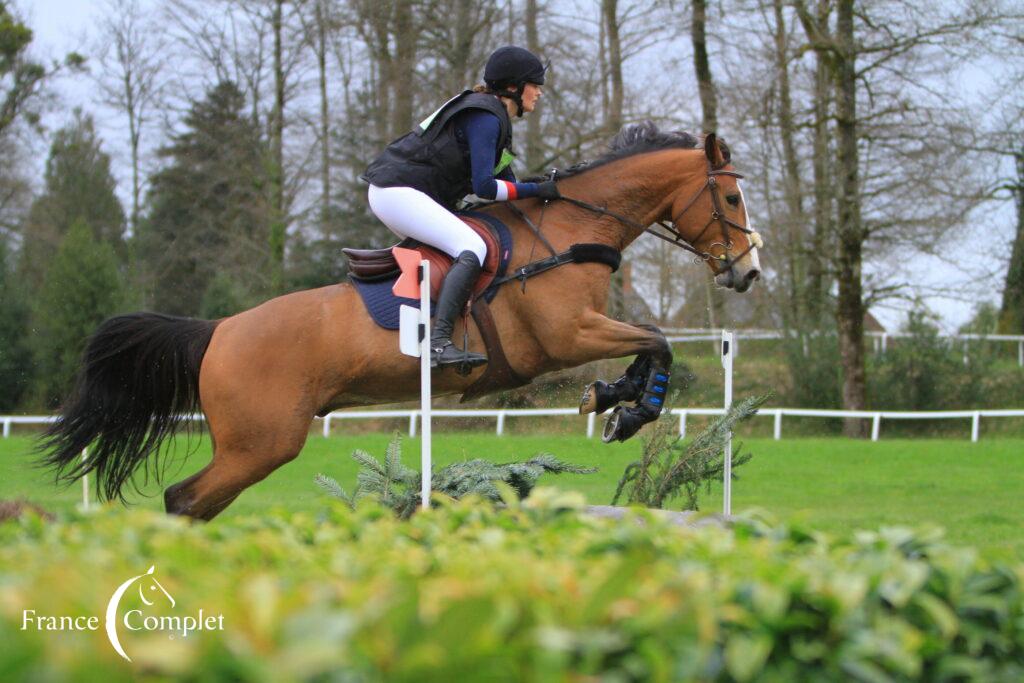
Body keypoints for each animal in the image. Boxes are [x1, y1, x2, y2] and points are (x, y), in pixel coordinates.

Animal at [37, 122, 761, 520]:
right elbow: (659, 343)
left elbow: (649, 347)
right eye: (730, 197)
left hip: (255, 444)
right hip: (261, 443)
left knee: (192, 503)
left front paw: (613, 398)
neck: (568, 229)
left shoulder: (580, 333)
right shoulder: (564, 335)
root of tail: (217, 331)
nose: (748, 273)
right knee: (184, 499)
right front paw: (630, 410)